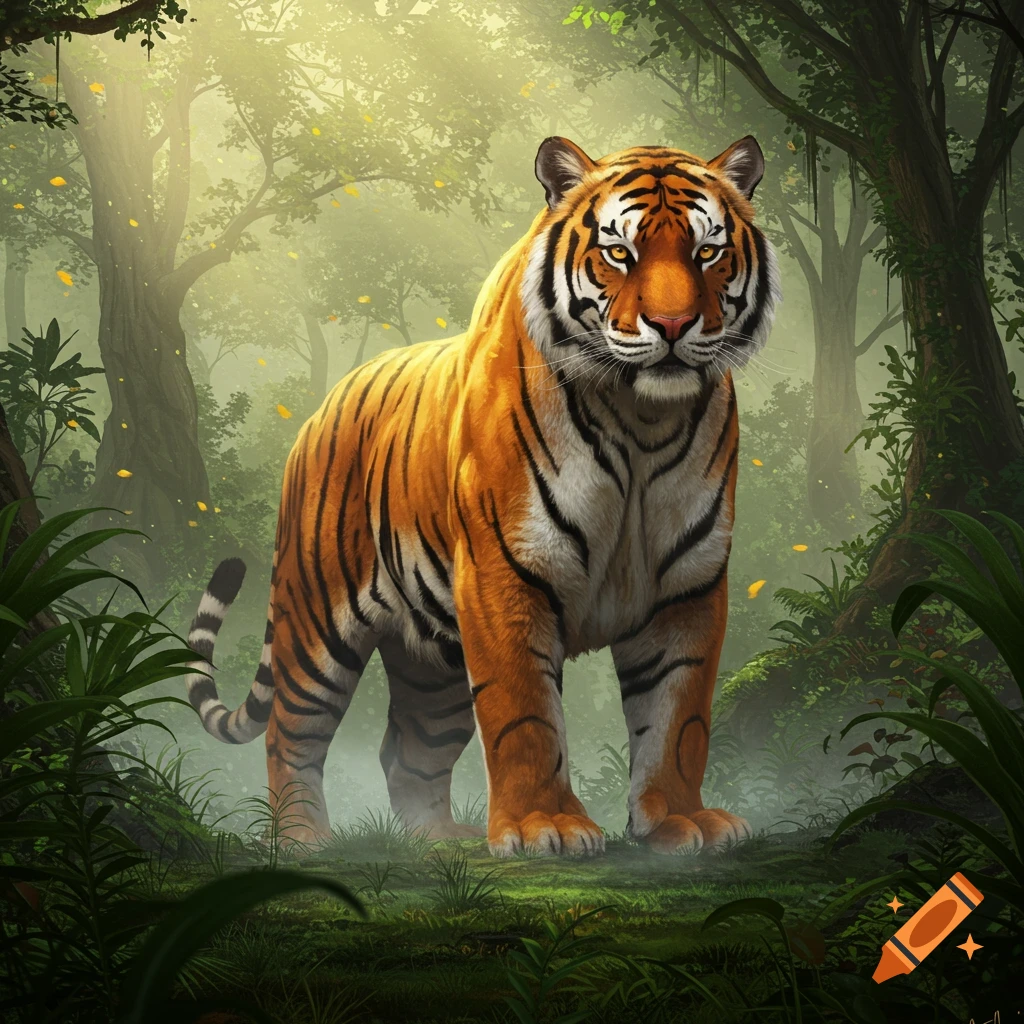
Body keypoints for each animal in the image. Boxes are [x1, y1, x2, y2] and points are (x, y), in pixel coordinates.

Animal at [184, 134, 780, 857]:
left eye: (707, 252)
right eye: (620, 253)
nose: (673, 324)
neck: (642, 419)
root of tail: (320, 410)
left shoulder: (687, 587)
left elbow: (678, 719)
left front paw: (680, 820)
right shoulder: (506, 573)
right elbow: (525, 715)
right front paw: (544, 827)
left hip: (434, 661)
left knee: (406, 751)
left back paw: (440, 839)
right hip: (315, 619)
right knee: (289, 733)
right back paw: (303, 838)